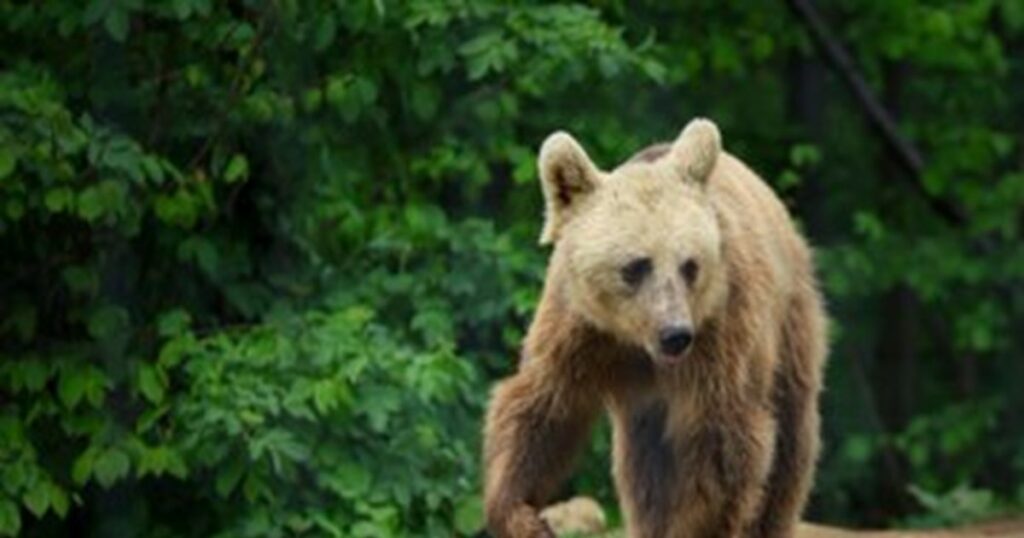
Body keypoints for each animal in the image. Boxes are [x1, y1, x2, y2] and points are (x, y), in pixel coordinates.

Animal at [482, 118, 828, 538]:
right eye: (636, 265)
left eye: (690, 265)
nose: (675, 334)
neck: (636, 341)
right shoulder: (579, 328)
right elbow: (545, 405)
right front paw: (521, 514)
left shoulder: (721, 332)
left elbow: (719, 439)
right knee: (643, 467)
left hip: (789, 323)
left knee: (790, 440)